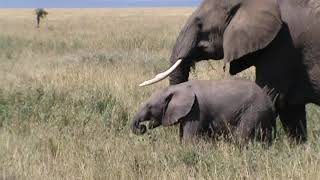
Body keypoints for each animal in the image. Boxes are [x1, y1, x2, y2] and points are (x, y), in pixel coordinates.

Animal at [131, 80, 276, 145]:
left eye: (149, 107)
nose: (142, 127)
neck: (178, 88)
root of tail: (270, 102)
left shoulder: (196, 111)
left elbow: (189, 138)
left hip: (253, 111)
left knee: (241, 137)